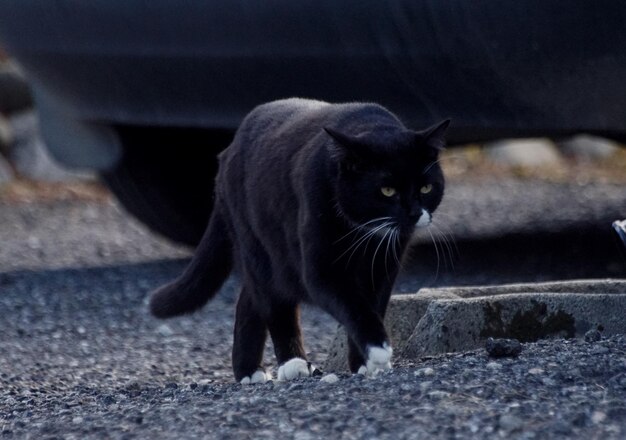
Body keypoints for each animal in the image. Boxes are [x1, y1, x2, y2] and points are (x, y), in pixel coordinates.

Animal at [149, 98, 446, 384]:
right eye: (387, 190)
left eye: (426, 187)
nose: (414, 213)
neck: (363, 234)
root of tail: (227, 151)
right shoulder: (321, 268)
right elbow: (352, 304)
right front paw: (378, 349)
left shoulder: (384, 265)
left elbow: (374, 304)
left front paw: (362, 363)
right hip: (259, 243)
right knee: (273, 298)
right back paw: (291, 363)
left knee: (250, 298)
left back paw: (248, 370)